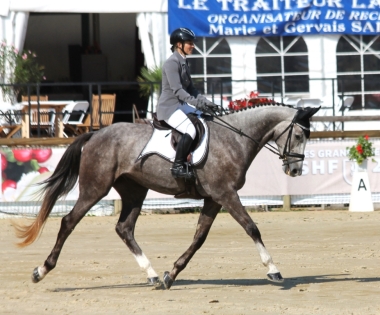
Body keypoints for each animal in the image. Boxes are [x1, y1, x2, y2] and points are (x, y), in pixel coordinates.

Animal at [13, 103, 320, 288]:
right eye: (299, 136)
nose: (295, 170)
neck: (235, 139)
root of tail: (94, 134)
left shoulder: (213, 198)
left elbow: (199, 238)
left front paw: (171, 274)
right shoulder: (226, 194)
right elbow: (252, 227)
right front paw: (273, 269)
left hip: (134, 191)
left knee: (124, 228)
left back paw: (151, 274)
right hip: (95, 188)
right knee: (68, 222)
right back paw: (41, 270)